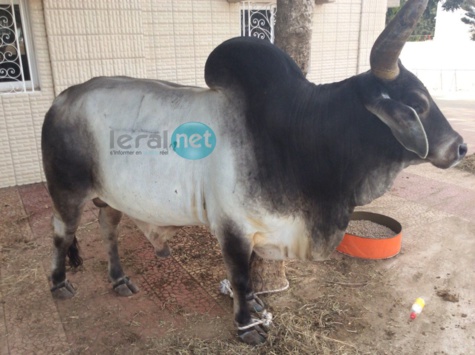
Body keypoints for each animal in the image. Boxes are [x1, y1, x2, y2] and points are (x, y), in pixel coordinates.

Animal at [41, 0, 468, 344]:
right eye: (418, 103)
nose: (461, 147)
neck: (301, 137)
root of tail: (61, 100)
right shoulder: (232, 227)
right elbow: (240, 275)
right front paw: (247, 326)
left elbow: (247, 279)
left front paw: (257, 307)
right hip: (67, 191)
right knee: (62, 233)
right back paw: (59, 284)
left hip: (109, 195)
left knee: (108, 229)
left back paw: (119, 279)